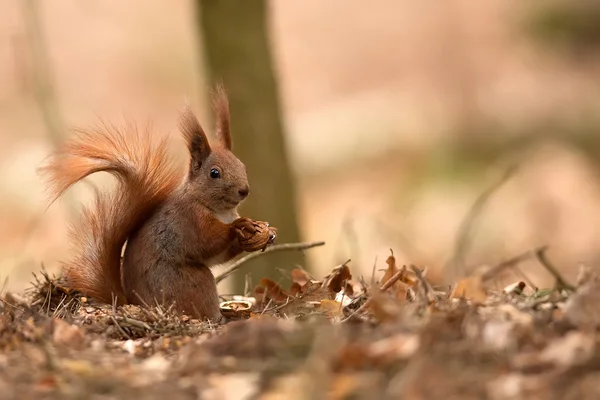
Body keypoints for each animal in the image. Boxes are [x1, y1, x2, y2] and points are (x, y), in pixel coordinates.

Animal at [38, 86, 278, 320]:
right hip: (193, 283)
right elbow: (208, 243)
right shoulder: (190, 220)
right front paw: (238, 226)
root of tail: (133, 303)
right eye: (214, 173)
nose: (244, 190)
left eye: (242, 165)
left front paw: (266, 233)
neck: (220, 210)